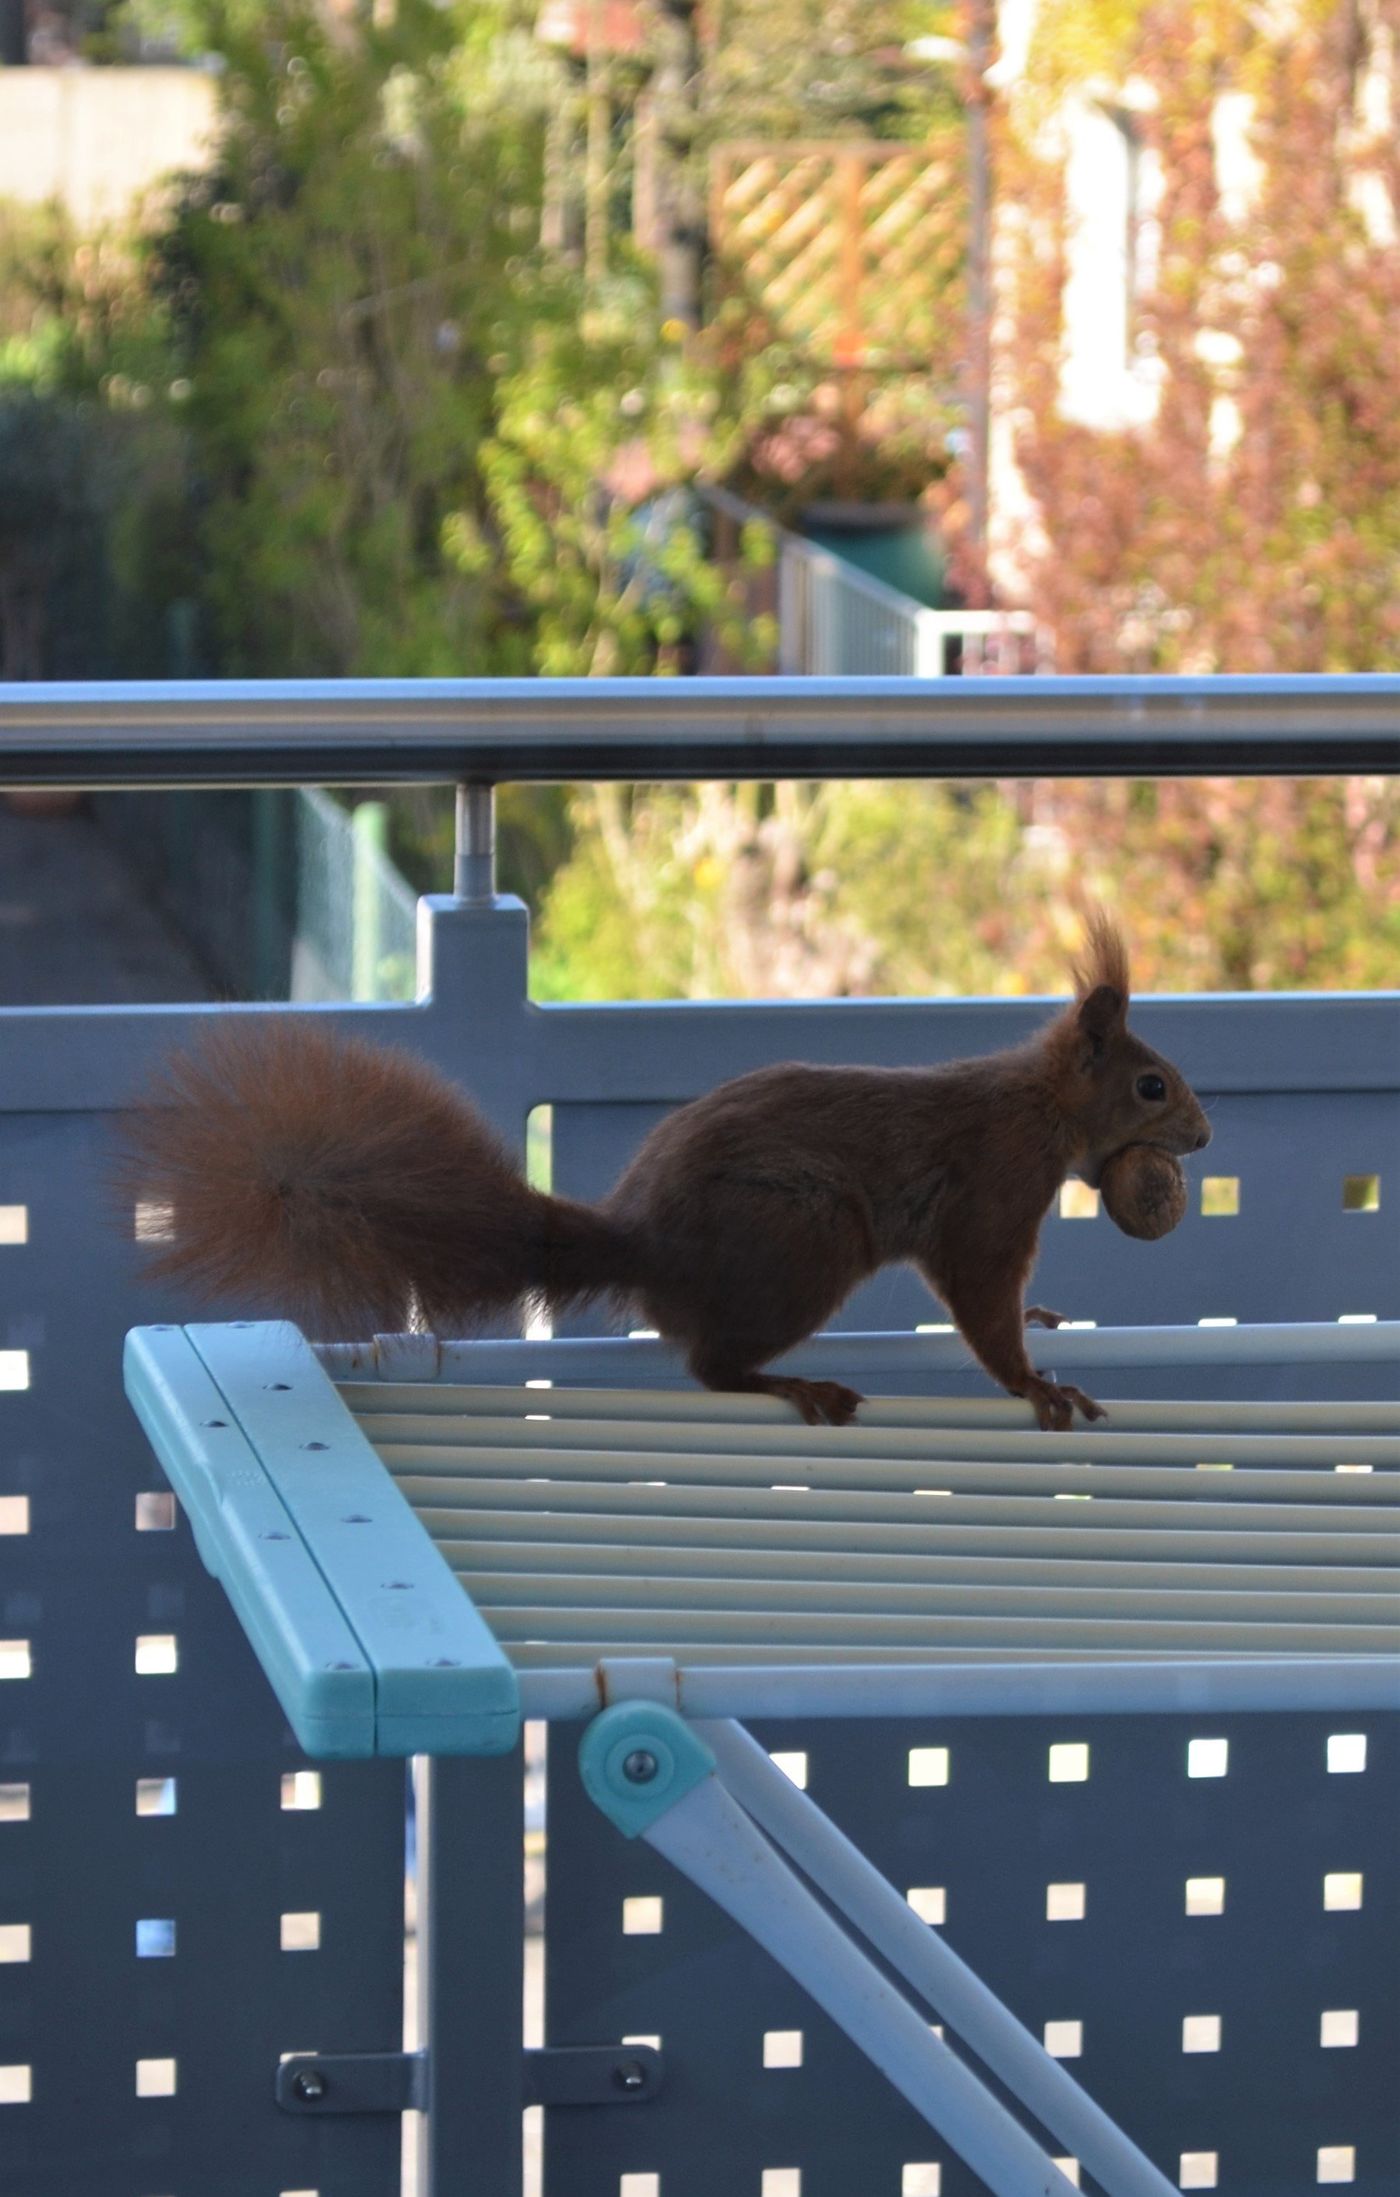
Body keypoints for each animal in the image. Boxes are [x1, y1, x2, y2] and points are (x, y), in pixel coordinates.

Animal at [125, 909, 1204, 1423]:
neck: (1038, 1107)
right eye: (1152, 1086)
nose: (1200, 1134)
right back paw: (793, 1384)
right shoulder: (990, 1188)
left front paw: (1040, 1320)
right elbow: (979, 1294)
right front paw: (1036, 1384)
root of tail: (647, 1242)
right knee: (710, 1366)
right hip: (803, 1237)